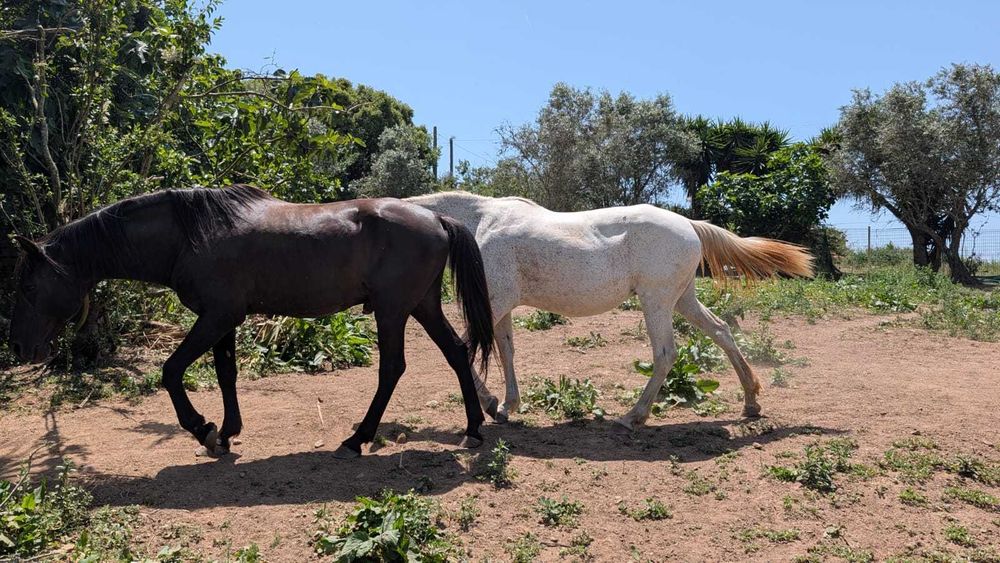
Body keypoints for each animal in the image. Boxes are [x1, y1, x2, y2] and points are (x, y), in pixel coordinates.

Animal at [9, 185, 495, 459]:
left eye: (28, 287)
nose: (18, 349)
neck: (188, 236)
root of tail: (436, 216)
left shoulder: (217, 315)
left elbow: (171, 371)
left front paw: (202, 429)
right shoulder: (222, 321)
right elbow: (226, 373)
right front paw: (227, 432)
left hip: (394, 311)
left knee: (392, 369)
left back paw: (357, 439)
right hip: (422, 306)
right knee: (457, 353)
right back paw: (473, 429)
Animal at [408, 191, 813, 431]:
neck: (480, 222)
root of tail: (689, 225)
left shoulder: (494, 304)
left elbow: (460, 348)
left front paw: (491, 404)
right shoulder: (499, 306)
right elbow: (506, 351)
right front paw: (507, 405)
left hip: (656, 302)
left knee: (666, 353)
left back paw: (634, 416)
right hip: (682, 300)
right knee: (721, 331)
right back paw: (751, 402)